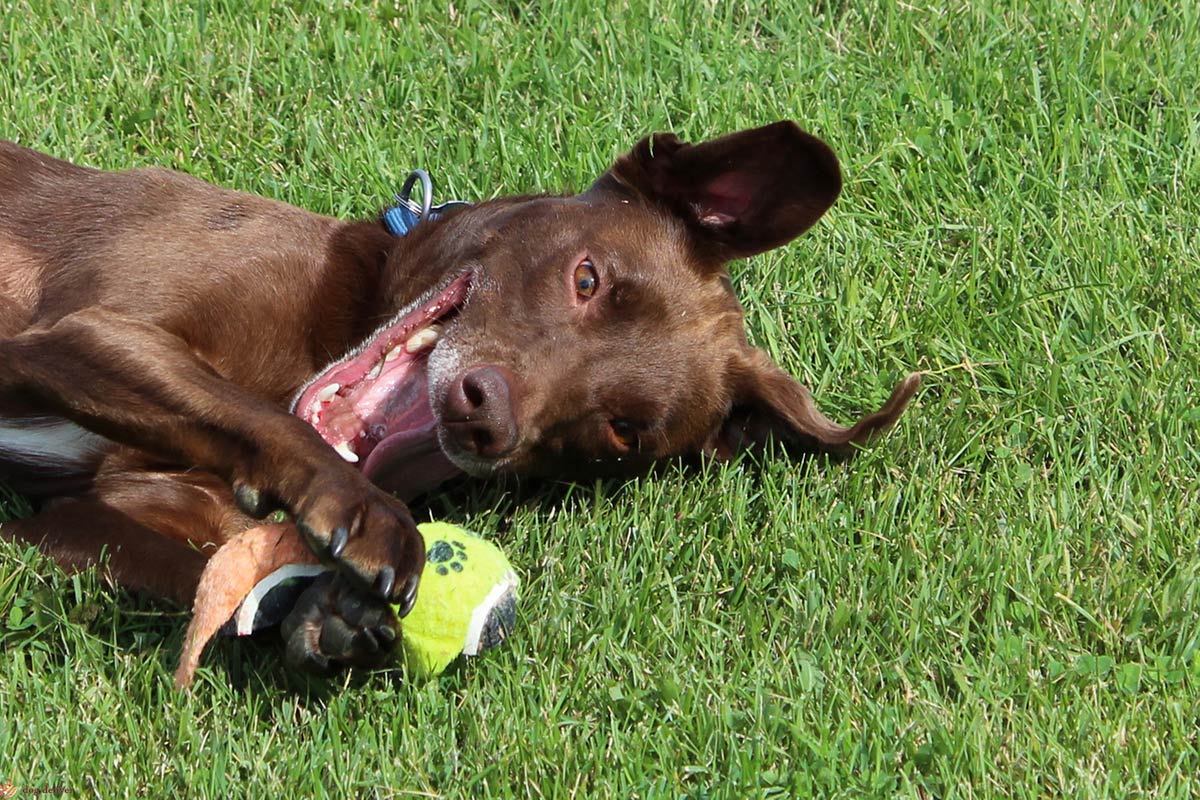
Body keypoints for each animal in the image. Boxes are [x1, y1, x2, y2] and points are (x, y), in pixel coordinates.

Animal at [0, 122, 916, 676]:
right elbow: (256, 423)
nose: (485, 417)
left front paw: (317, 610)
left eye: (622, 431)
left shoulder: (81, 516)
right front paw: (364, 518)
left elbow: (215, 573)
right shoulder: (83, 334)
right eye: (587, 279)